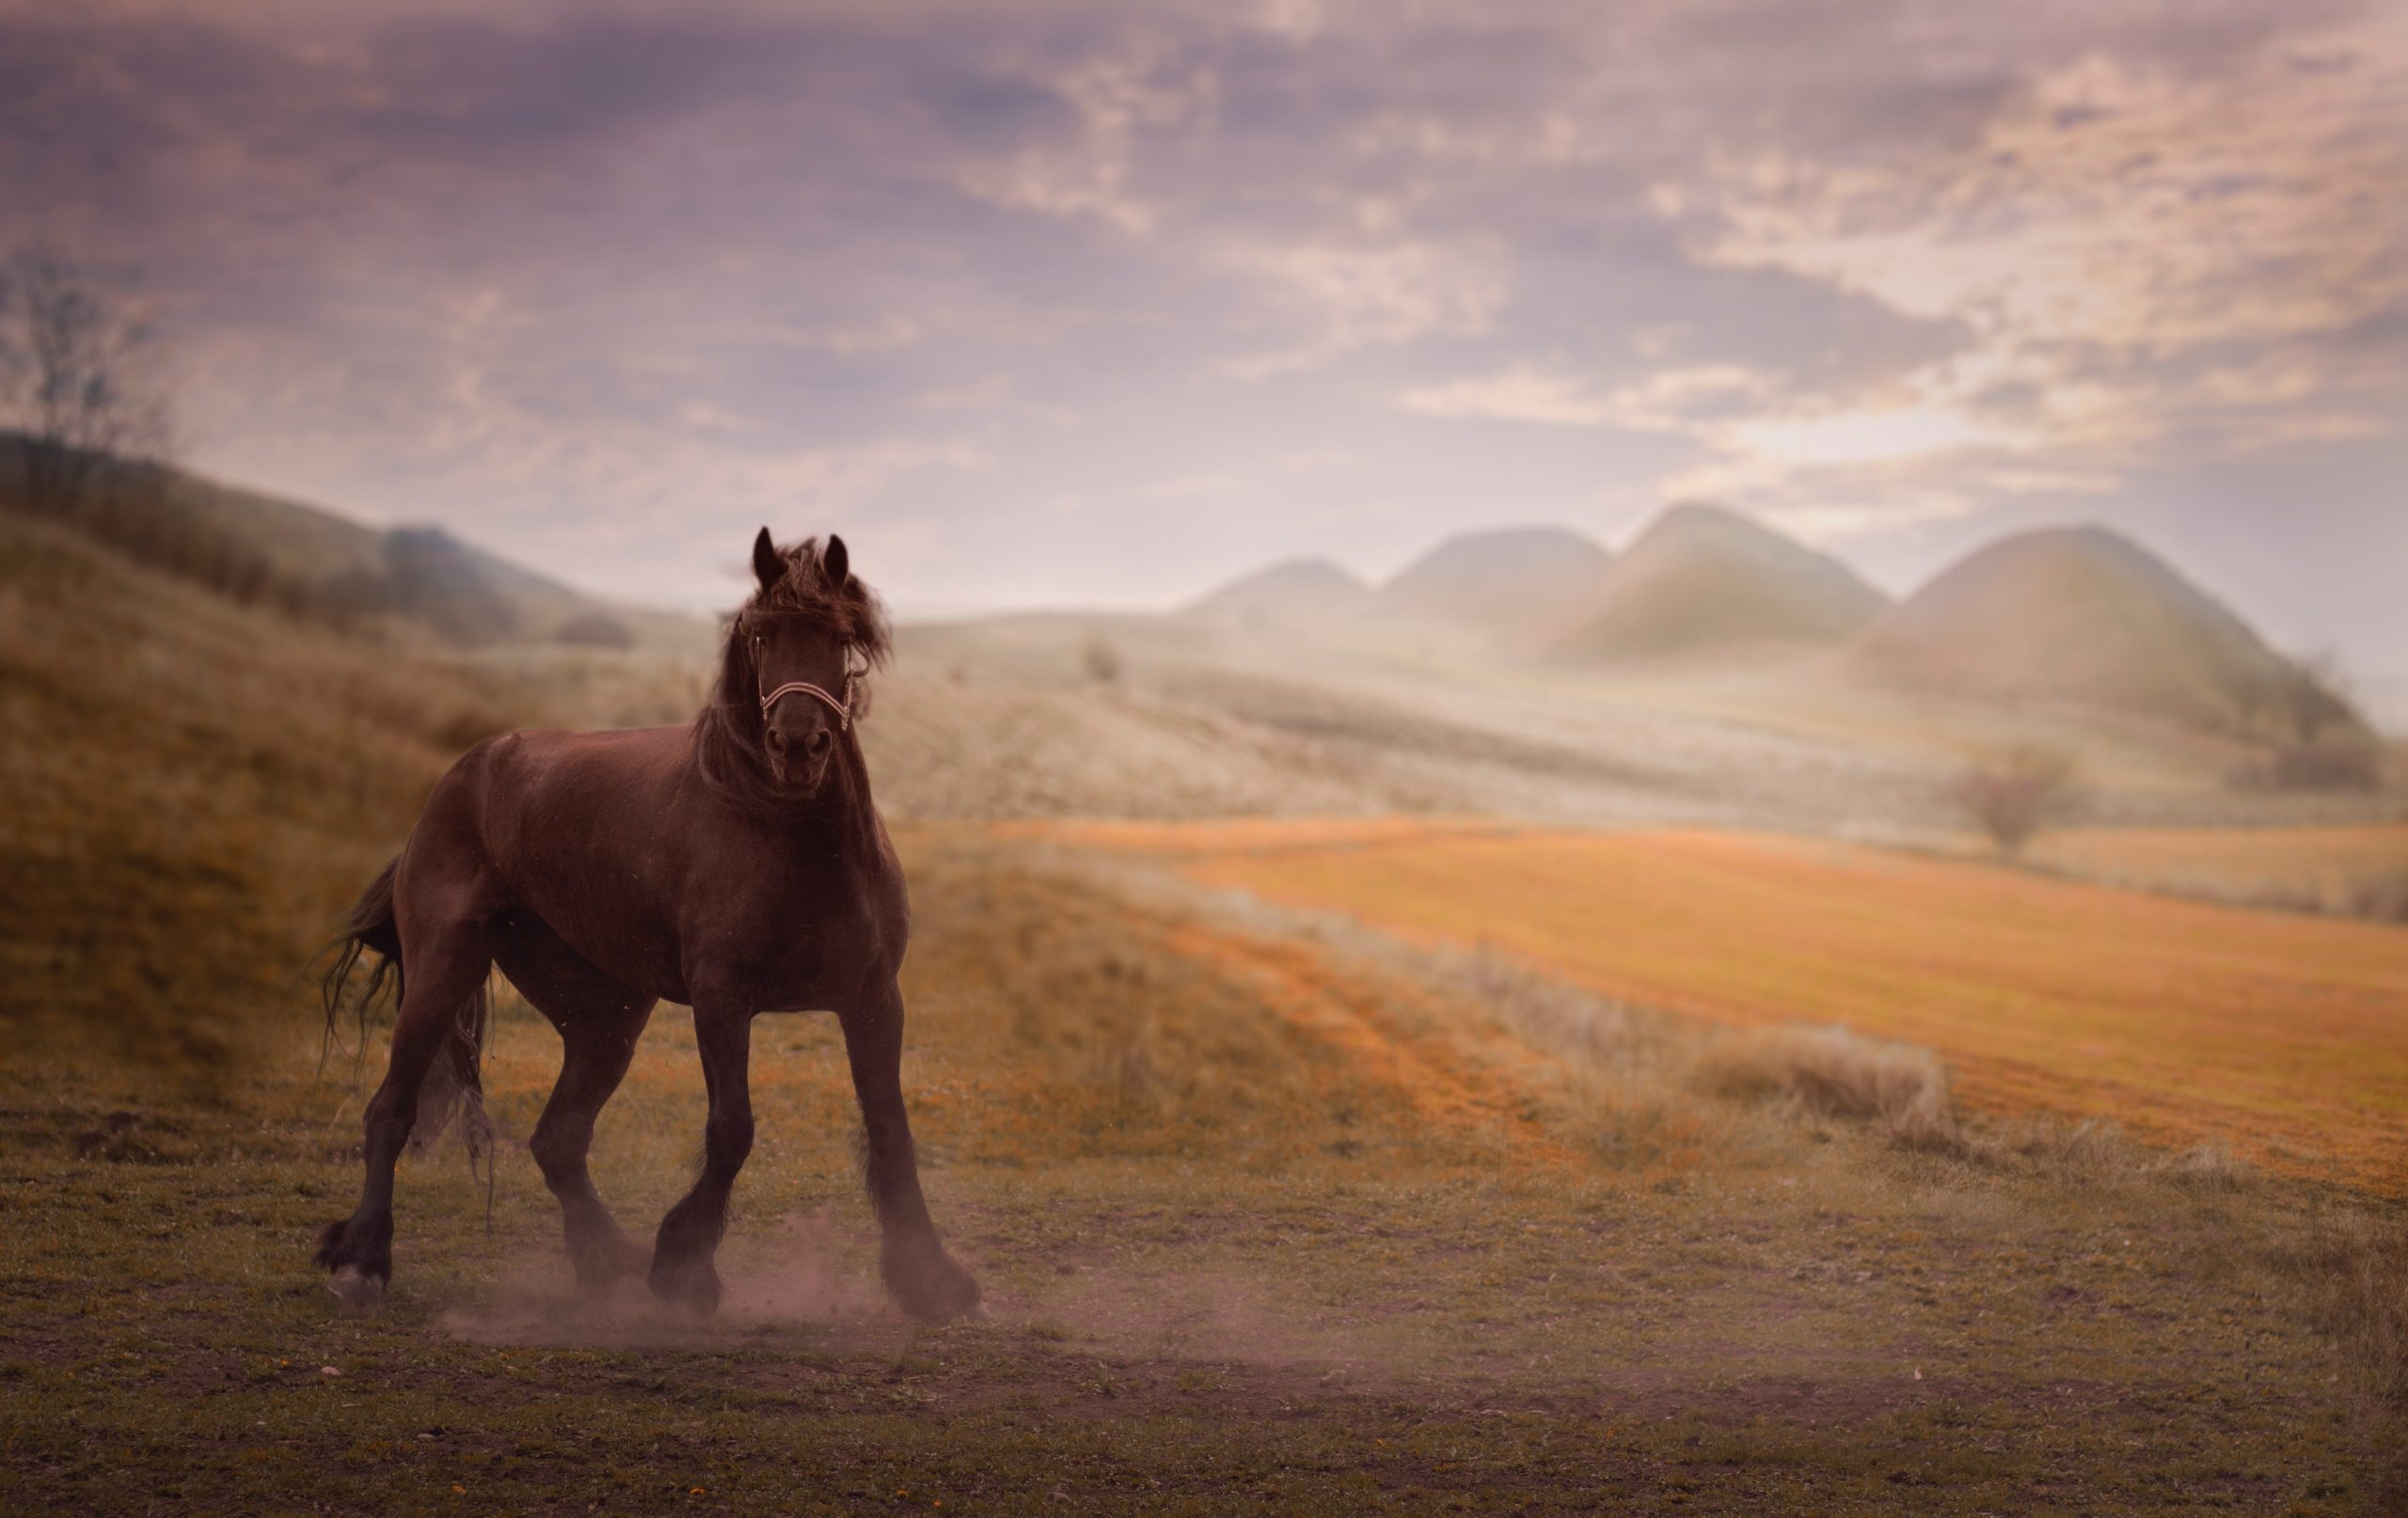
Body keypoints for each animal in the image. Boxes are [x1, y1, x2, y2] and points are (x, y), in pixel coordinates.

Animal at [313, 527, 981, 1321]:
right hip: (444, 973)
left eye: (841, 640)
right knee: (392, 1110)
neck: (786, 834)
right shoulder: (724, 999)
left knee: (558, 1140)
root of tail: (463, 774)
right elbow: (731, 1130)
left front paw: (929, 1278)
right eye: (760, 636)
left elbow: (890, 1129)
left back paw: (609, 1263)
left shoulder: (874, 999)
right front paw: (686, 1265)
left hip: (607, 1016)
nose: (797, 745)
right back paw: (362, 1260)